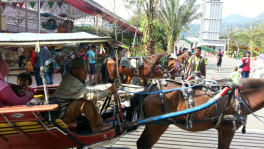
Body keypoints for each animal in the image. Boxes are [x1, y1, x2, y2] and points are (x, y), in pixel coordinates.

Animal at [126, 78, 264, 148]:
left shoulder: (222, 130)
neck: (240, 98)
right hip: (158, 125)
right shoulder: (228, 130)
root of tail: (148, 89)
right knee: (144, 144)